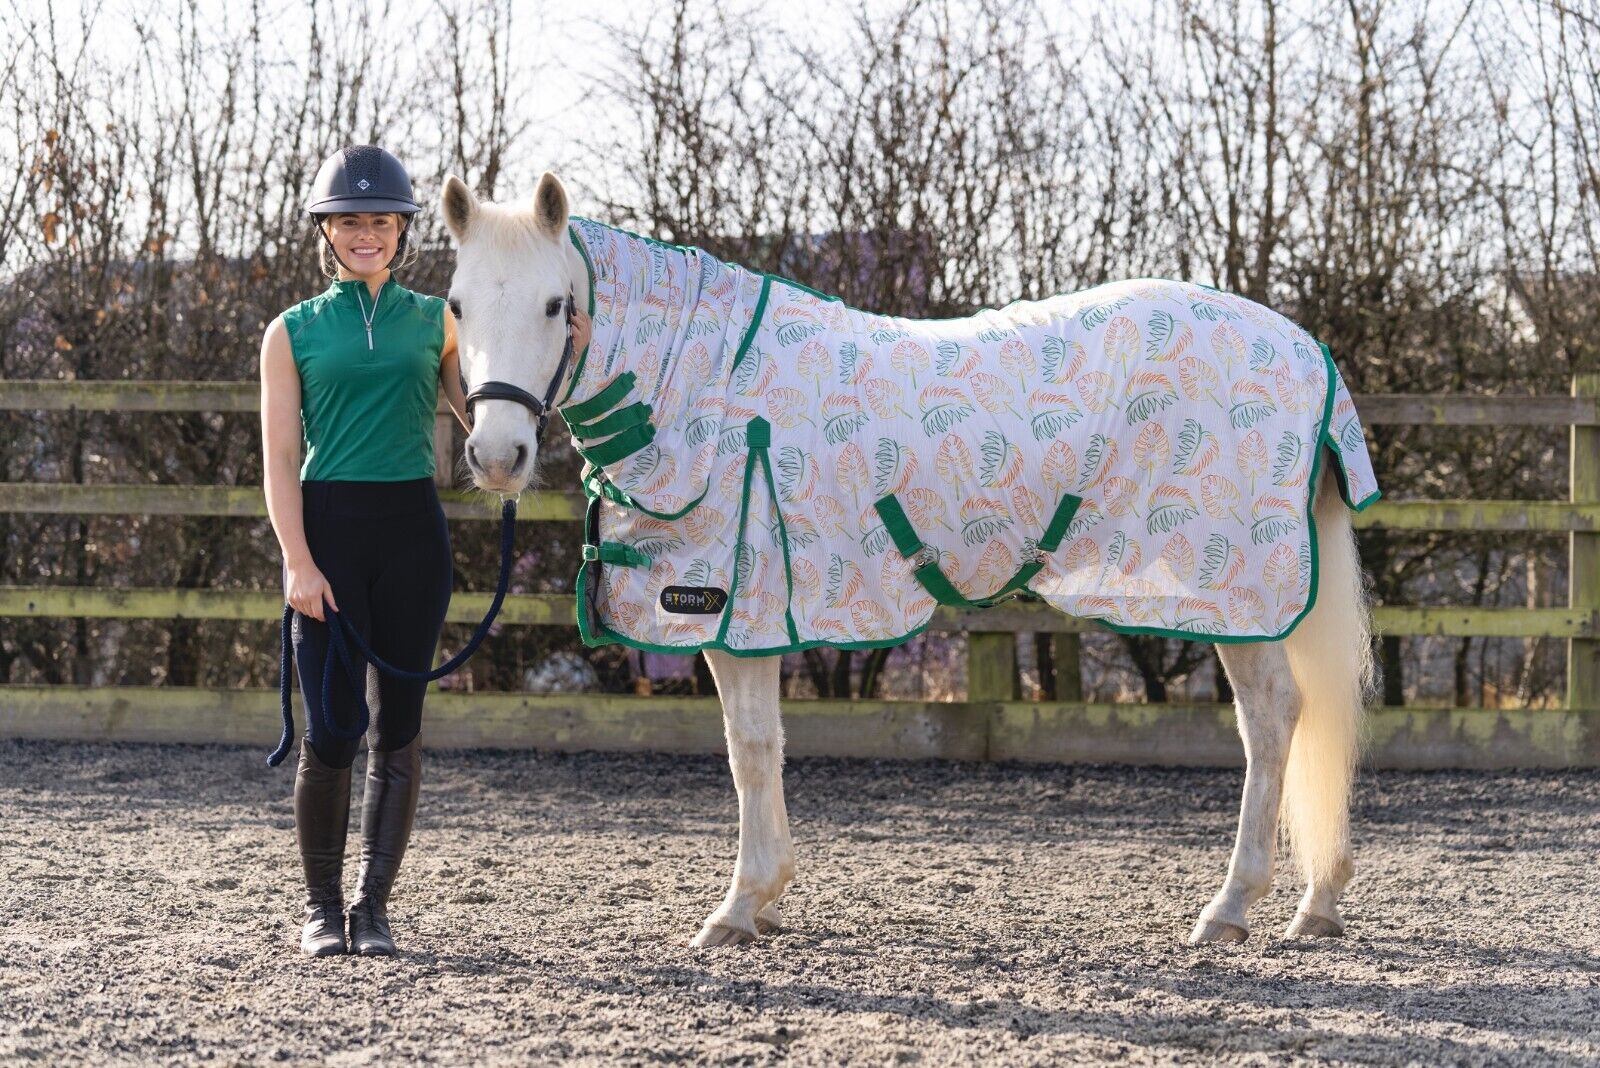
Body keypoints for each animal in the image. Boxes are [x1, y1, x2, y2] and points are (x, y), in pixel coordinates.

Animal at [441, 170, 1378, 948]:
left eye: (556, 304)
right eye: (454, 304)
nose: (498, 456)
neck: (708, 387)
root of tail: (1306, 349)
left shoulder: (734, 609)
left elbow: (751, 747)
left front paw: (741, 905)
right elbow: (757, 747)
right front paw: (765, 899)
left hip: (1238, 597)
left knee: (1272, 720)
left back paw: (1231, 908)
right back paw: (1316, 902)